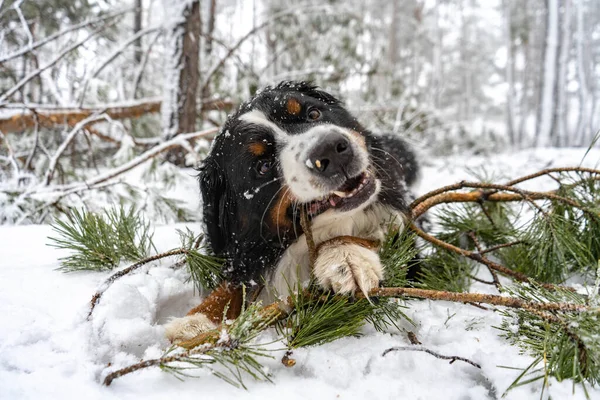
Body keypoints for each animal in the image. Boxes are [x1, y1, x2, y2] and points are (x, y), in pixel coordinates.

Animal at [164, 82, 418, 344]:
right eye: (263, 166)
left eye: (313, 114)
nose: (331, 148)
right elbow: (233, 285)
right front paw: (196, 321)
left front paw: (345, 257)